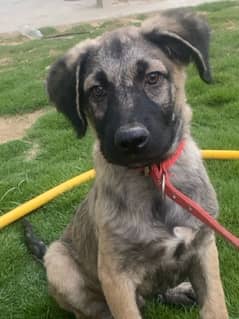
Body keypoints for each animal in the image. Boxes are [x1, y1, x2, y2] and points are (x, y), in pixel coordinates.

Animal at [25, 9, 228, 319]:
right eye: (97, 91)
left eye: (153, 78)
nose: (131, 140)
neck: (155, 179)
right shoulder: (115, 276)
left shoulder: (204, 248)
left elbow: (216, 307)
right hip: (59, 263)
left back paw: (178, 290)